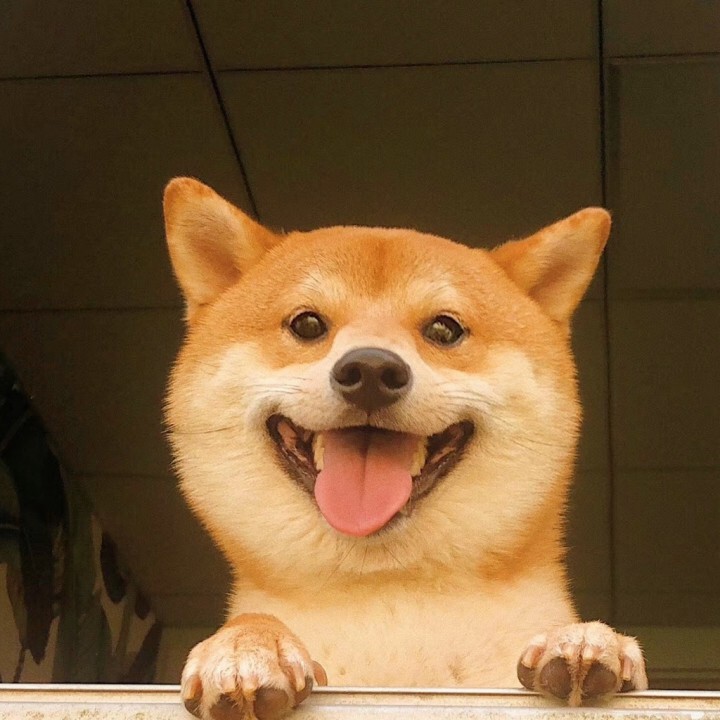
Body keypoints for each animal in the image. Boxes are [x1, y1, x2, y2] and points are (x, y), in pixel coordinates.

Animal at [162, 178, 647, 720]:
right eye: (307, 324)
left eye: (444, 329)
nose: (371, 370)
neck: (388, 594)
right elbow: (253, 620)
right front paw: (247, 646)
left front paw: (583, 638)